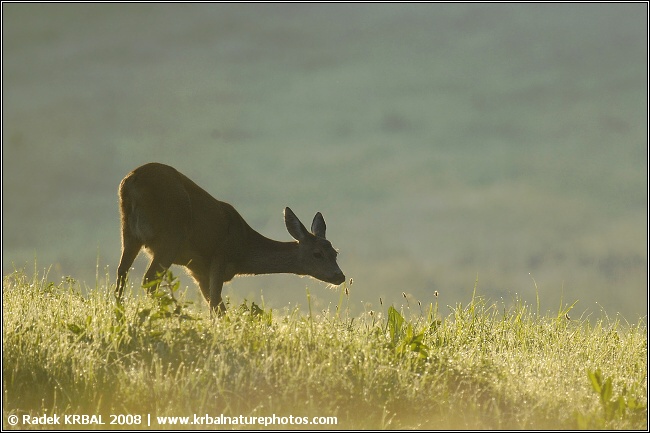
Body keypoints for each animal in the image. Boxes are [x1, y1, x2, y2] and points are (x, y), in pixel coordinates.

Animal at [115, 162, 345, 315]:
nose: (340, 276)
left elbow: (216, 304)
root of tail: (131, 181)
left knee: (122, 272)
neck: (243, 250)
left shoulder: (198, 271)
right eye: (317, 253)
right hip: (171, 235)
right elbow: (217, 305)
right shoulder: (219, 257)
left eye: (335, 252)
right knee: (148, 280)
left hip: (129, 232)